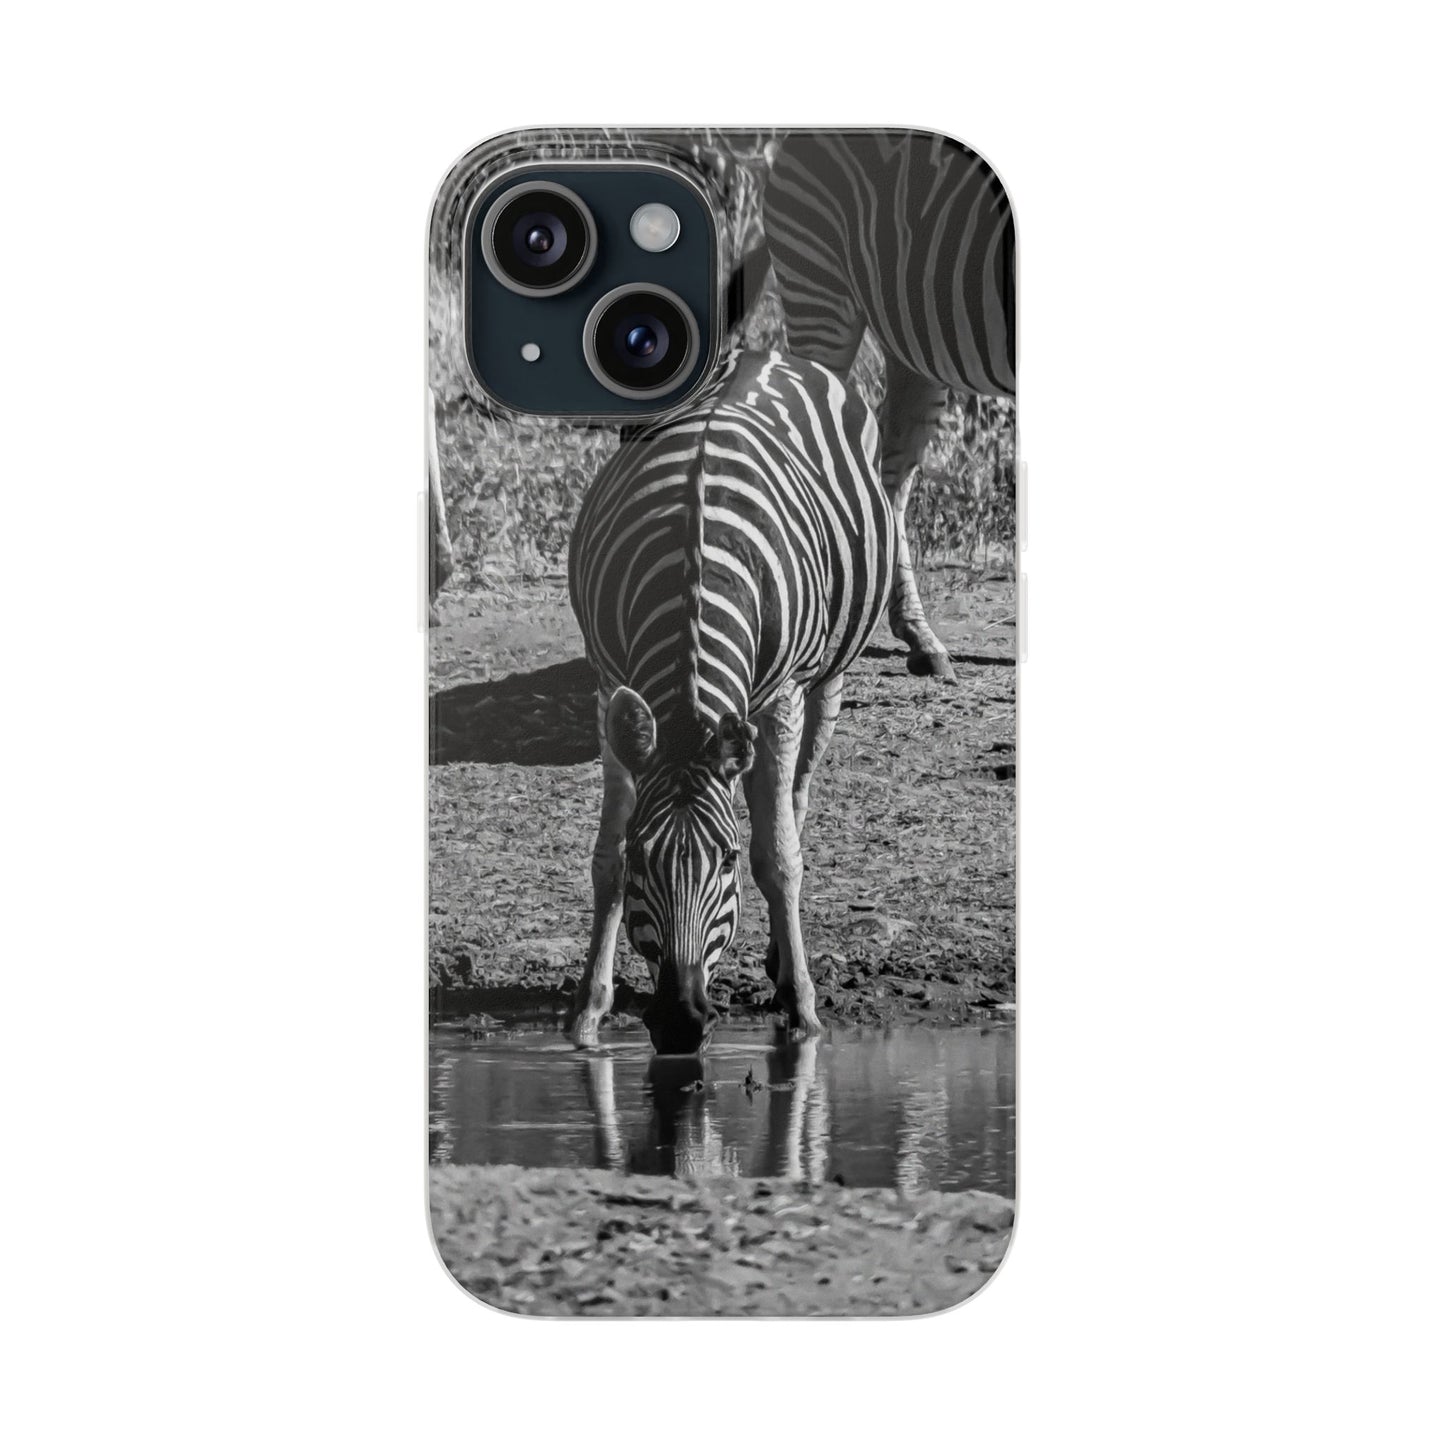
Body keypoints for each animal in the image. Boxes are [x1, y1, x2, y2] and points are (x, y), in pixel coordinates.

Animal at [565, 349, 896, 1053]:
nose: (680, 1022)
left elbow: (779, 858)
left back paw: (782, 958)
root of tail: (766, 352)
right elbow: (605, 859)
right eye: (645, 857)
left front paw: (802, 1009)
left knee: (795, 800)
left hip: (825, 677)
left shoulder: (783, 698)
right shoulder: (608, 684)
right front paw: (588, 1010)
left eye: (726, 860)